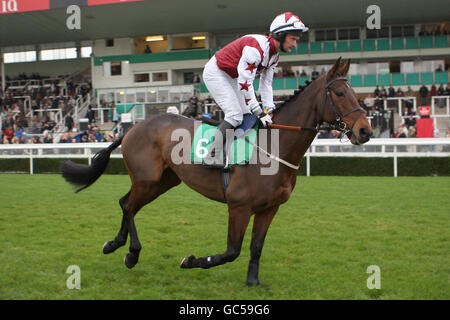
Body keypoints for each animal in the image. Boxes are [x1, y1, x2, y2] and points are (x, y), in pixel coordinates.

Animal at [61, 57, 374, 284]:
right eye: (339, 92)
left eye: (355, 92)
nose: (366, 131)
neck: (273, 148)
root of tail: (131, 128)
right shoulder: (239, 206)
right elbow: (231, 251)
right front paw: (191, 261)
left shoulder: (269, 208)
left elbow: (256, 247)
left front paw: (253, 282)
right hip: (148, 180)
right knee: (128, 205)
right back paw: (132, 253)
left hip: (162, 181)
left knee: (127, 203)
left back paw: (116, 245)